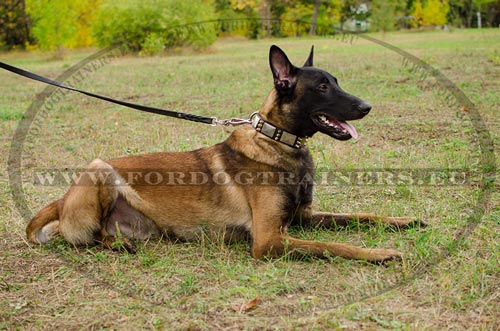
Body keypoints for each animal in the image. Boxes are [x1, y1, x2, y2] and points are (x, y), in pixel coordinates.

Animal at [25, 45, 420, 264]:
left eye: (336, 81)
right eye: (323, 86)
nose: (367, 106)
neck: (278, 142)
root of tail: (61, 199)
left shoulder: (302, 217)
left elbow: (359, 216)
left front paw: (401, 221)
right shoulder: (269, 240)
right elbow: (333, 245)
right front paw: (380, 254)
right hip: (99, 169)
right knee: (81, 235)